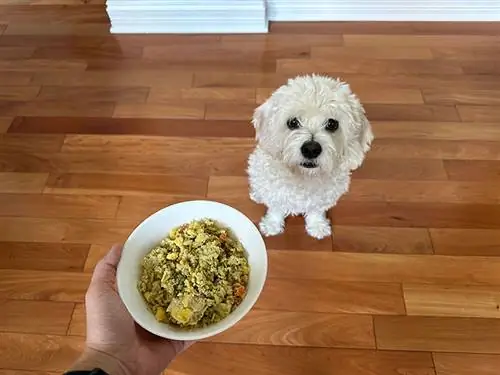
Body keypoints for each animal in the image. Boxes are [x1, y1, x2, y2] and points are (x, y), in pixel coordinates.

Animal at [248, 76, 374, 239]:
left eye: (332, 124)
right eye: (293, 122)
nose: (311, 149)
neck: (304, 177)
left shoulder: (321, 199)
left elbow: (316, 211)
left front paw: (317, 226)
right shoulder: (276, 193)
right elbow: (276, 209)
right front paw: (272, 225)